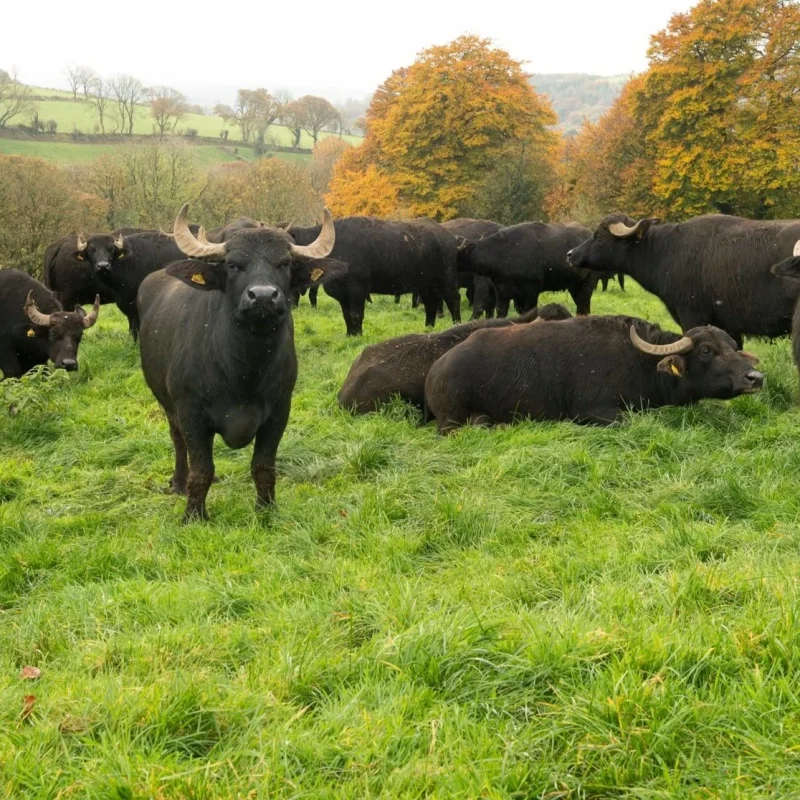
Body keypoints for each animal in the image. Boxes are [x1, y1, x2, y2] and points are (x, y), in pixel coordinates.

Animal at [137, 205, 342, 521]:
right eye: (233, 265)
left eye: (284, 263)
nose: (263, 296)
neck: (243, 371)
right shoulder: (191, 413)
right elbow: (202, 470)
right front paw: (194, 515)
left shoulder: (279, 411)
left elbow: (263, 466)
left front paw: (266, 509)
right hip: (166, 402)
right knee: (177, 440)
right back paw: (178, 483)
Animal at [289, 216, 461, 336]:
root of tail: (448, 236)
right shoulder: (342, 293)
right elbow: (346, 315)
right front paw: (350, 335)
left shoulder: (357, 289)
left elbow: (356, 314)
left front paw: (358, 335)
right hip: (425, 285)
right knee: (431, 304)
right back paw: (428, 328)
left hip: (447, 279)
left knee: (453, 299)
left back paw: (457, 324)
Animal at [424, 314, 763, 434]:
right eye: (706, 350)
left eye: (733, 346)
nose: (755, 378)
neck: (640, 362)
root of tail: (436, 369)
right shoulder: (591, 410)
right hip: (452, 418)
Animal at [459, 222, 598, 317]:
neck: (504, 253)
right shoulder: (502, 294)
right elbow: (502, 313)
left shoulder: (531, 291)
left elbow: (528, 311)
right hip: (575, 286)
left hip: (587, 285)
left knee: (584, 305)